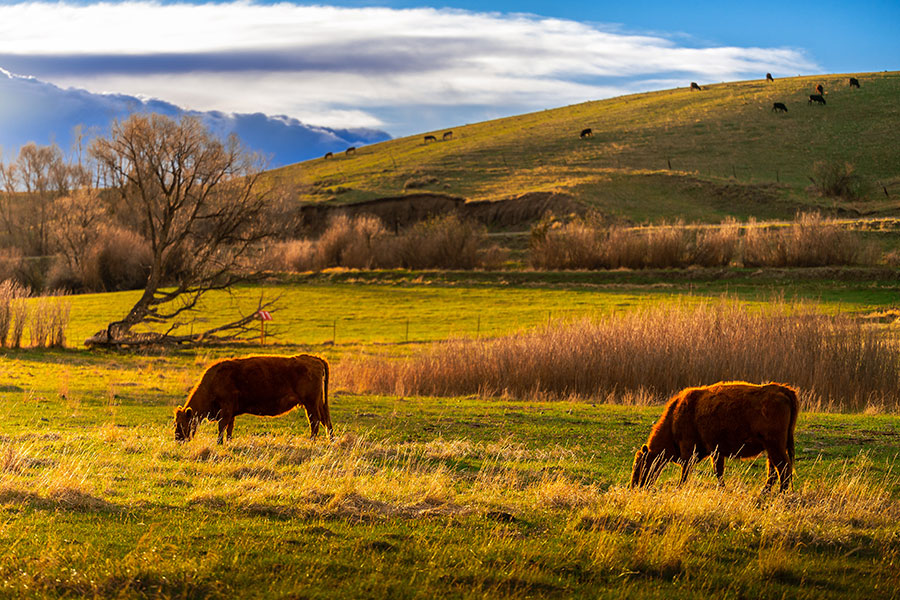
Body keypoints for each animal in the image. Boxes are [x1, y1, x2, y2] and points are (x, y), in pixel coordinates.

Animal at [174, 355, 332, 444]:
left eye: (182, 423)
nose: (178, 439)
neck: (214, 381)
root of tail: (315, 359)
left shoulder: (225, 410)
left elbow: (221, 427)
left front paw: (219, 443)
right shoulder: (231, 413)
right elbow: (229, 428)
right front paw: (228, 442)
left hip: (310, 404)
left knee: (315, 421)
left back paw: (312, 441)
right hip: (318, 403)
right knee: (325, 420)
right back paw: (331, 439)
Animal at [630, 381, 799, 493]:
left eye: (639, 465)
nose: (633, 486)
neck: (674, 418)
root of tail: (781, 389)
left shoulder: (688, 450)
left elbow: (686, 472)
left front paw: (680, 487)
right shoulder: (716, 451)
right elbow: (718, 471)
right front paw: (722, 488)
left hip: (774, 446)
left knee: (783, 468)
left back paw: (781, 493)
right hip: (771, 448)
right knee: (774, 470)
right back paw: (765, 492)